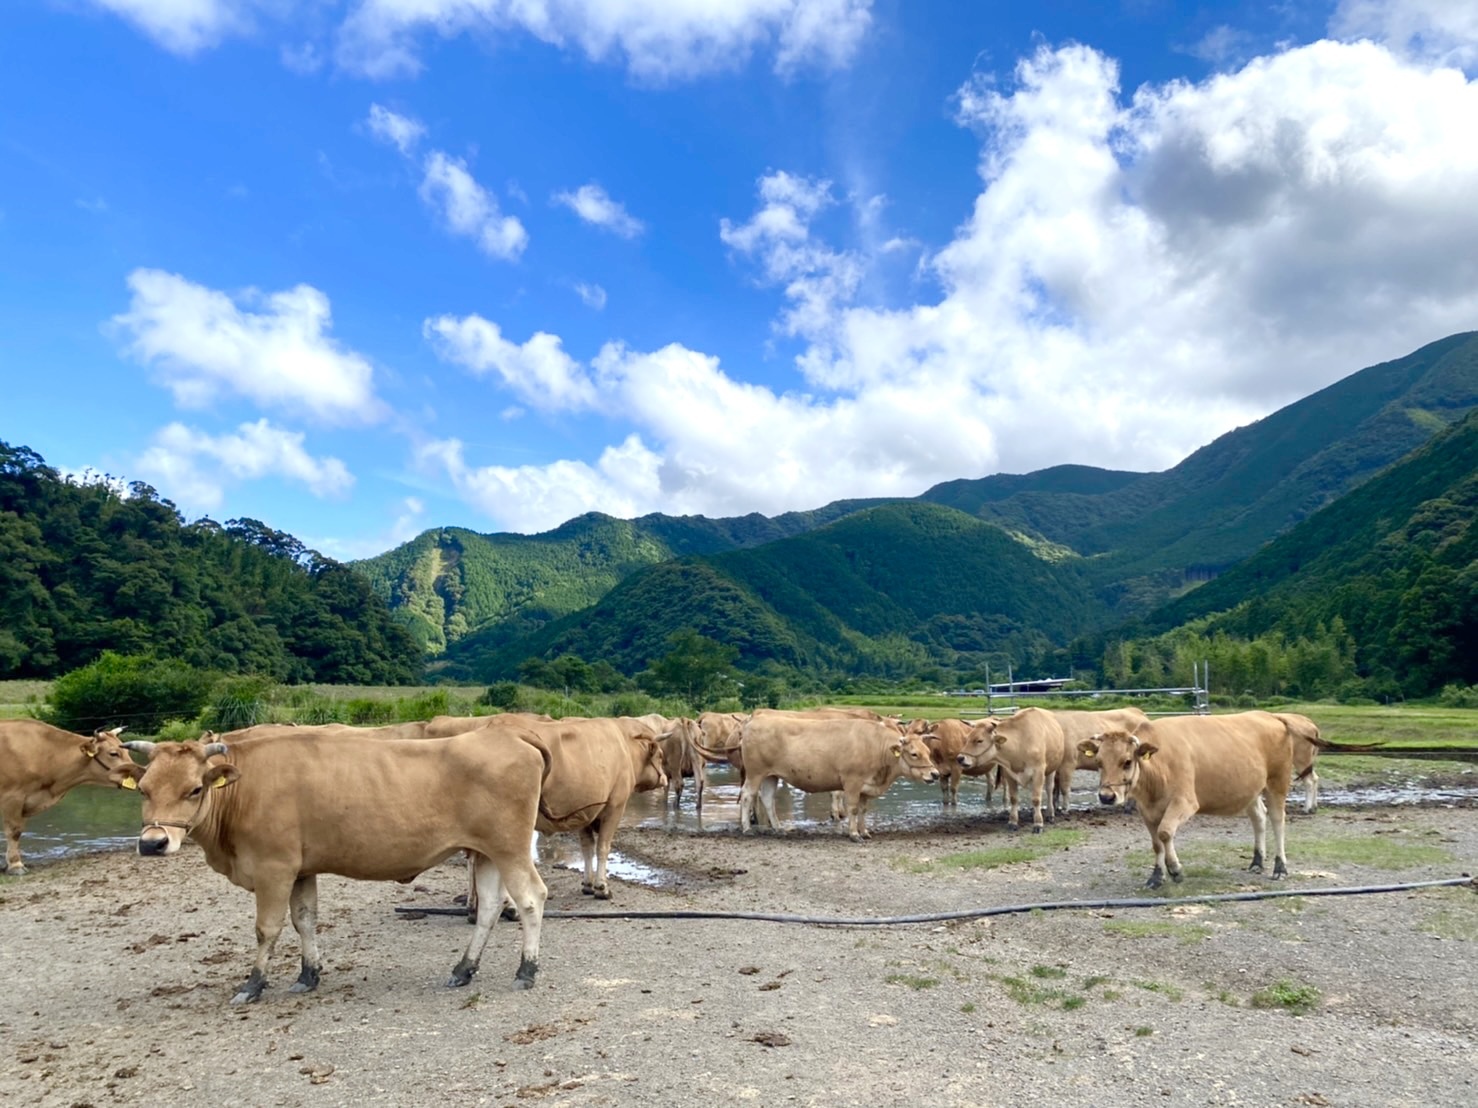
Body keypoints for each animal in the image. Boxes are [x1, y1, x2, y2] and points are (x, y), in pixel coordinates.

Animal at [125, 729, 549, 1004]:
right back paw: (463, 969)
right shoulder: (300, 870)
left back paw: (526, 971)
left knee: (531, 898)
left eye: (195, 789)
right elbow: (305, 920)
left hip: (509, 848)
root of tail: (510, 736)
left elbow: (267, 929)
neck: (243, 790)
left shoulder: (273, 868)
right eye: (143, 789)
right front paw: (308, 975)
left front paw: (252, 984)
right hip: (486, 852)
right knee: (490, 907)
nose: (153, 843)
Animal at [736, 720, 934, 839]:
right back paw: (747, 828)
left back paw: (778, 828)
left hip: (771, 775)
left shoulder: (866, 787)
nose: (935, 774)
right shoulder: (852, 782)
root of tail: (753, 721)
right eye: (914, 754)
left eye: (928, 751)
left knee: (768, 799)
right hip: (755, 773)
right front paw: (854, 834)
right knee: (747, 795)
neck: (875, 746)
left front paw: (865, 832)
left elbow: (863, 810)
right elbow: (853, 809)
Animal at [1075, 715, 1294, 892]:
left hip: (1277, 782)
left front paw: (1175, 870)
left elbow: (1165, 832)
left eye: (1127, 761)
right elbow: (1156, 843)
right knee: (1259, 817)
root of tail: (1269, 716)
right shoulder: (1146, 809)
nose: (1106, 796)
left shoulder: (1185, 801)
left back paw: (1280, 868)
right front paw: (1156, 877)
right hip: (1250, 789)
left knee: (1277, 820)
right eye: (1099, 762)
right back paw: (1257, 862)